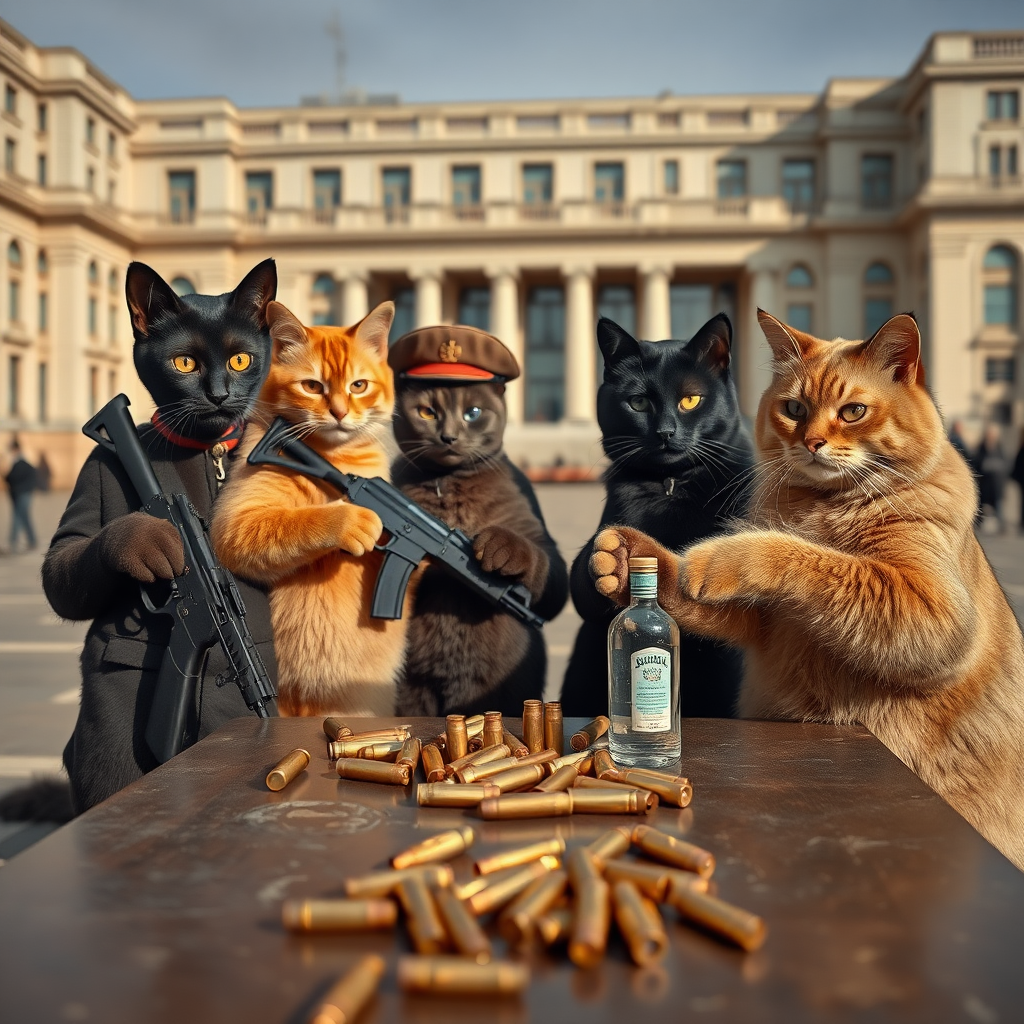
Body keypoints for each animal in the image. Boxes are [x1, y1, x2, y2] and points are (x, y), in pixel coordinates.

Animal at [211, 296, 407, 716]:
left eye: (359, 386)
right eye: (312, 386)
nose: (340, 413)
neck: (335, 459)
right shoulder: (237, 521)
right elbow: (298, 523)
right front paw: (353, 521)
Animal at [561, 315, 753, 716]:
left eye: (690, 399)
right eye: (637, 402)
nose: (665, 432)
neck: (672, 484)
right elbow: (585, 575)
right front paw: (614, 560)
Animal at [589, 309, 1024, 864]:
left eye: (854, 411)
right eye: (794, 408)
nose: (812, 443)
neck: (825, 504)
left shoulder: (930, 610)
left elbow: (804, 555)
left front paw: (720, 555)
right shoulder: (770, 623)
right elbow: (686, 583)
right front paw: (627, 559)